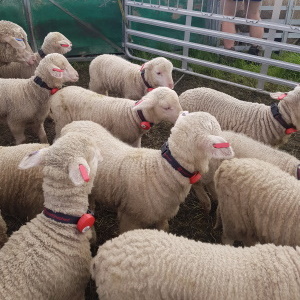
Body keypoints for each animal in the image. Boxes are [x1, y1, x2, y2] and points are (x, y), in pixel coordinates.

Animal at [49, 85, 183, 146]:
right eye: (166, 107)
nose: (183, 116)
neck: (134, 115)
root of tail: (57, 94)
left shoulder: (136, 139)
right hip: (61, 121)